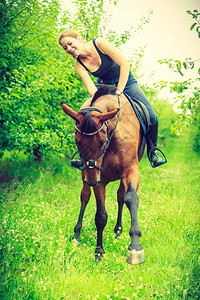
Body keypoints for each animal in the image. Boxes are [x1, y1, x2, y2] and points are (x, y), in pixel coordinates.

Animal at [61, 85, 145, 264]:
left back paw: (118, 230)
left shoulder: (131, 170)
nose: (92, 180)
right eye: (77, 142)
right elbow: (100, 215)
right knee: (85, 196)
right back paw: (77, 235)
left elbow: (131, 198)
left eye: (102, 141)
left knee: (121, 196)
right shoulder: (100, 179)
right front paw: (98, 251)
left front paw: (135, 247)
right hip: (86, 176)